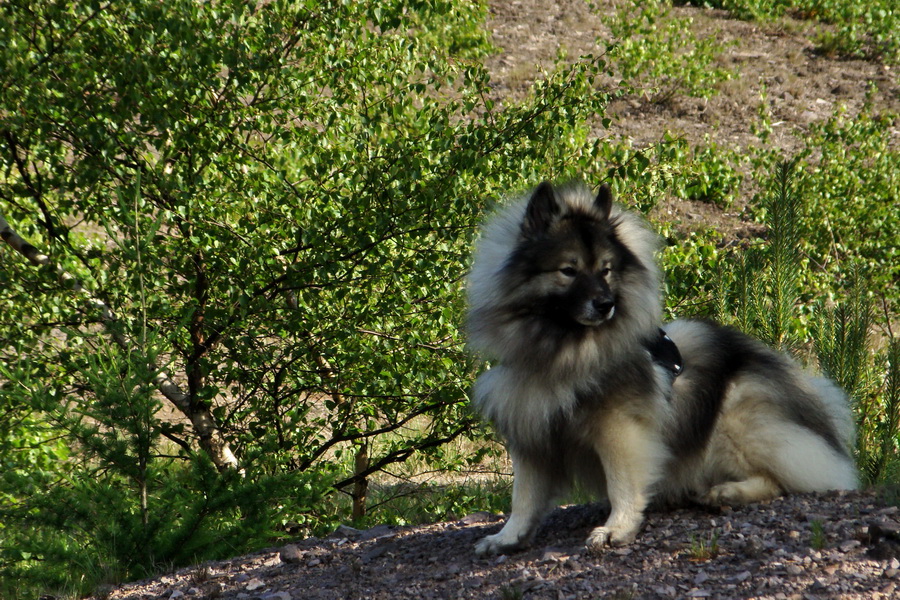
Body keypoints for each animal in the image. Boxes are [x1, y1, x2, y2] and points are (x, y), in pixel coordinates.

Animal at [468, 180, 856, 556]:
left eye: (606, 270)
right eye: (568, 270)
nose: (606, 303)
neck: (564, 352)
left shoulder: (619, 427)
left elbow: (622, 482)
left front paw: (616, 528)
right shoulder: (529, 427)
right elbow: (524, 496)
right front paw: (508, 537)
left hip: (734, 417)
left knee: (787, 478)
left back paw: (727, 492)